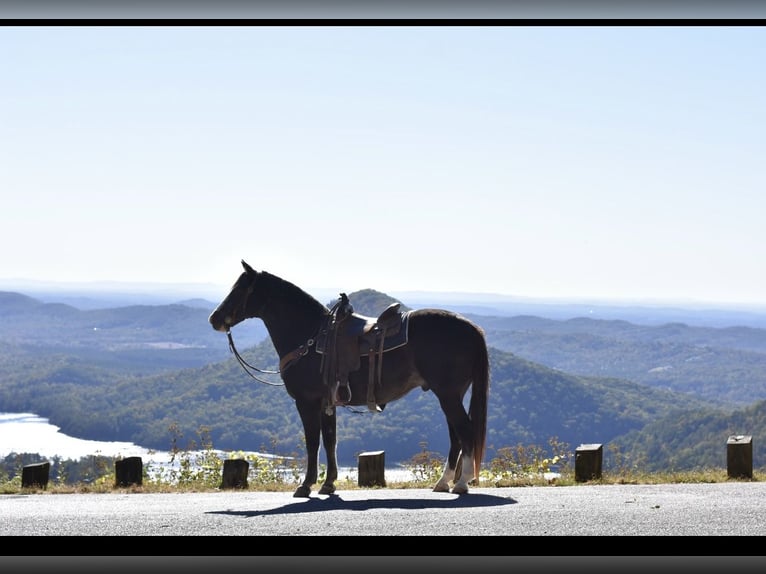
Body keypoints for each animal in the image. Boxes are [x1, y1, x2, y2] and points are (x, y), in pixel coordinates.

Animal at [208, 260, 490, 497]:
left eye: (239, 289)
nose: (214, 319)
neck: (310, 336)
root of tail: (472, 329)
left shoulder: (307, 402)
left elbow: (313, 443)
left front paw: (306, 485)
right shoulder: (327, 403)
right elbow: (330, 441)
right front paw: (328, 484)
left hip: (448, 395)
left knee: (465, 432)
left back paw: (461, 483)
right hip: (450, 395)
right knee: (456, 436)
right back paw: (444, 482)